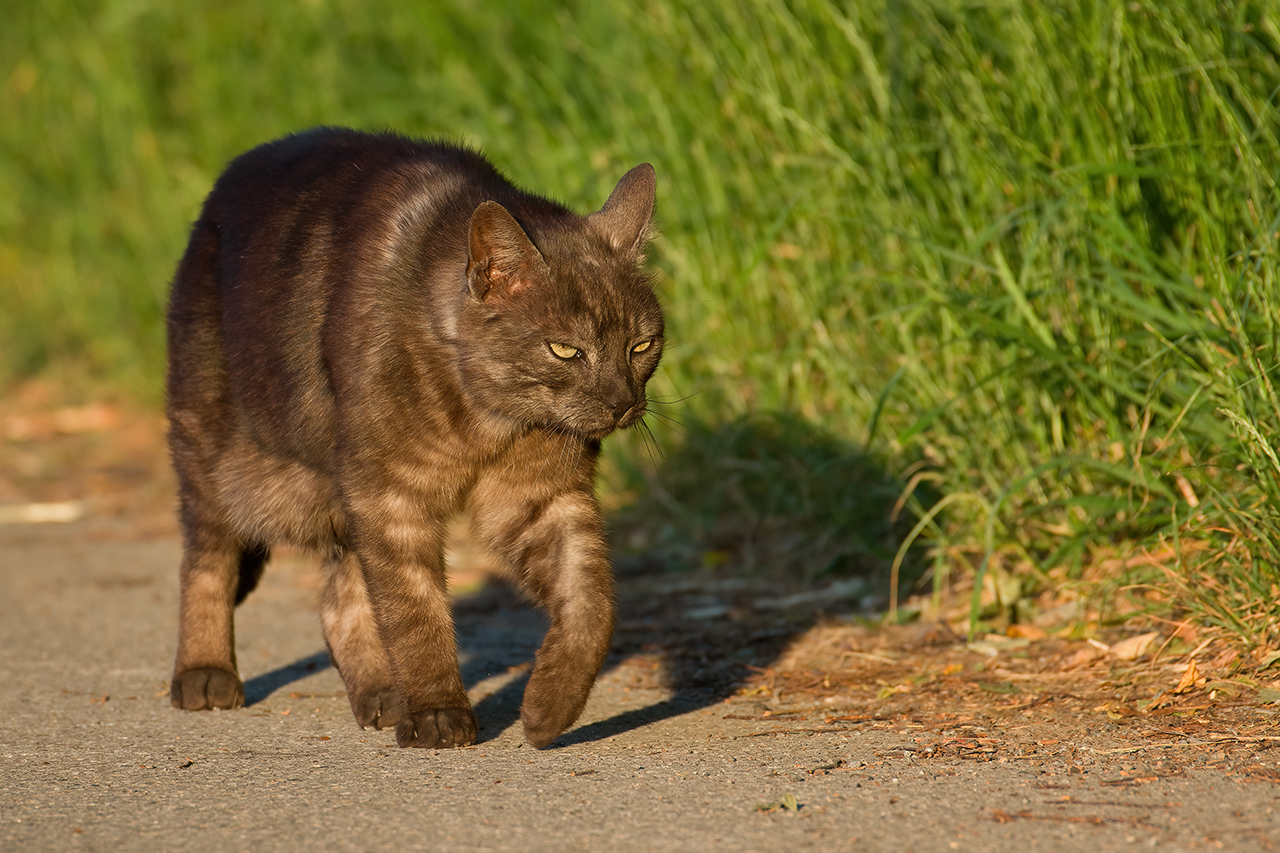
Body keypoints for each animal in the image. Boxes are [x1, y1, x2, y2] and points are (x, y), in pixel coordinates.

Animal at [166, 126, 665, 742]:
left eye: (641, 345)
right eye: (566, 349)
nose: (623, 402)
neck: (487, 418)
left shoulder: (541, 498)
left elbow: (592, 598)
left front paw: (550, 707)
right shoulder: (390, 494)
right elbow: (415, 610)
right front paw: (436, 713)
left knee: (339, 598)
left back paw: (381, 695)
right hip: (217, 460)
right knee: (207, 559)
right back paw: (205, 673)